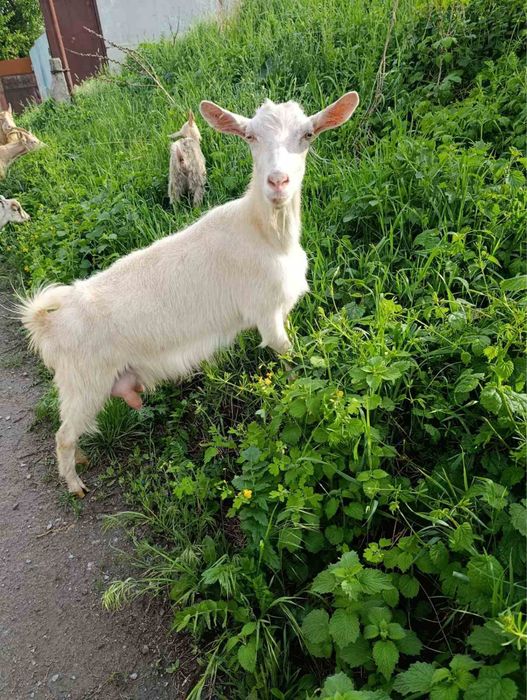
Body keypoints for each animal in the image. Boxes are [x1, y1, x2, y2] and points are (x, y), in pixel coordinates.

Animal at [19, 91, 360, 497]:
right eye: (250, 137)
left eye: (308, 134)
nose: (278, 182)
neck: (266, 233)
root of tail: (46, 323)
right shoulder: (266, 314)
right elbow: (290, 360)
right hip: (83, 383)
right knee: (63, 435)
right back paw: (75, 485)